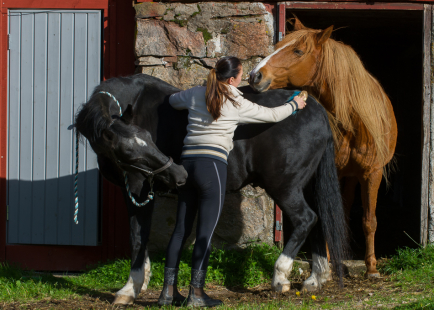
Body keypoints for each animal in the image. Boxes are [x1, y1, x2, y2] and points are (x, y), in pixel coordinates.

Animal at [74, 74, 346, 304]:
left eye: (148, 139)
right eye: (129, 150)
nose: (179, 173)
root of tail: (315, 110)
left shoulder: (139, 189)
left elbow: (139, 236)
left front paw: (129, 289)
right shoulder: (134, 191)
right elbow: (139, 236)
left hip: (284, 187)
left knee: (306, 219)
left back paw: (280, 277)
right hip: (307, 186)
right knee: (319, 222)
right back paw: (315, 279)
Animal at [249, 18, 398, 278]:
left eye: (298, 51)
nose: (255, 75)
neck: (353, 121)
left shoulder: (372, 173)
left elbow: (369, 220)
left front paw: (371, 267)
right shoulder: (333, 171)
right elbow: (330, 214)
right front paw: (325, 265)